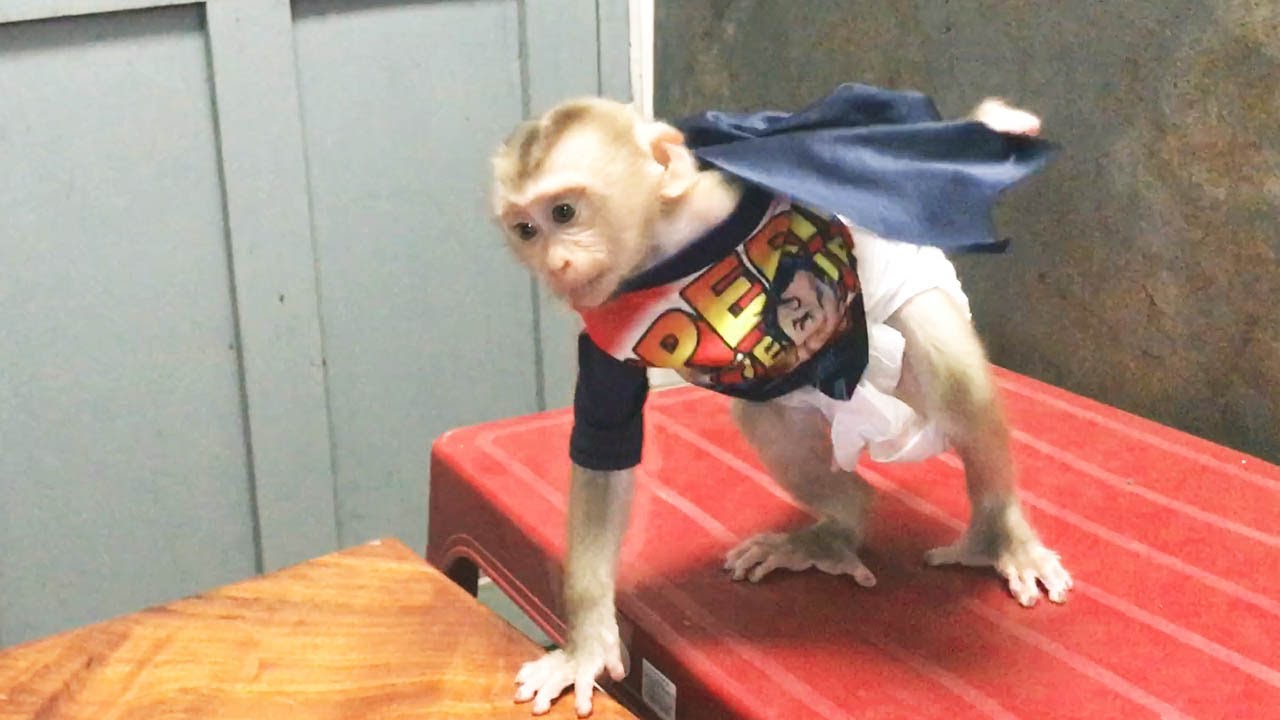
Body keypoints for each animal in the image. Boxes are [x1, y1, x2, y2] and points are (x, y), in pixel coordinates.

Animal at [489, 90, 1071, 716]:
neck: (665, 254)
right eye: (526, 229)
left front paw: (995, 123)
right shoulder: (606, 321)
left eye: (564, 213)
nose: (554, 264)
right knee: (767, 418)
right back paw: (839, 527)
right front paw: (589, 642)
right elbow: (605, 441)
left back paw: (996, 530)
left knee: (946, 366)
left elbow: (859, 125)